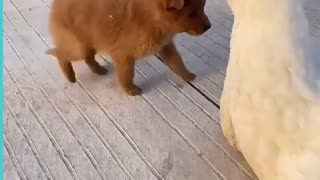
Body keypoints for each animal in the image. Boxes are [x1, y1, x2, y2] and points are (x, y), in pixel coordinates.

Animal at [45, 0, 210, 95]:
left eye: (203, 7)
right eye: (191, 13)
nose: (209, 26)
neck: (152, 19)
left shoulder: (165, 45)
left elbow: (177, 62)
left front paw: (188, 76)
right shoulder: (123, 55)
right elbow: (127, 75)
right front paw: (130, 89)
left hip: (88, 43)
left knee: (88, 57)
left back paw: (98, 70)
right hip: (78, 46)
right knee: (61, 54)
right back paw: (70, 75)